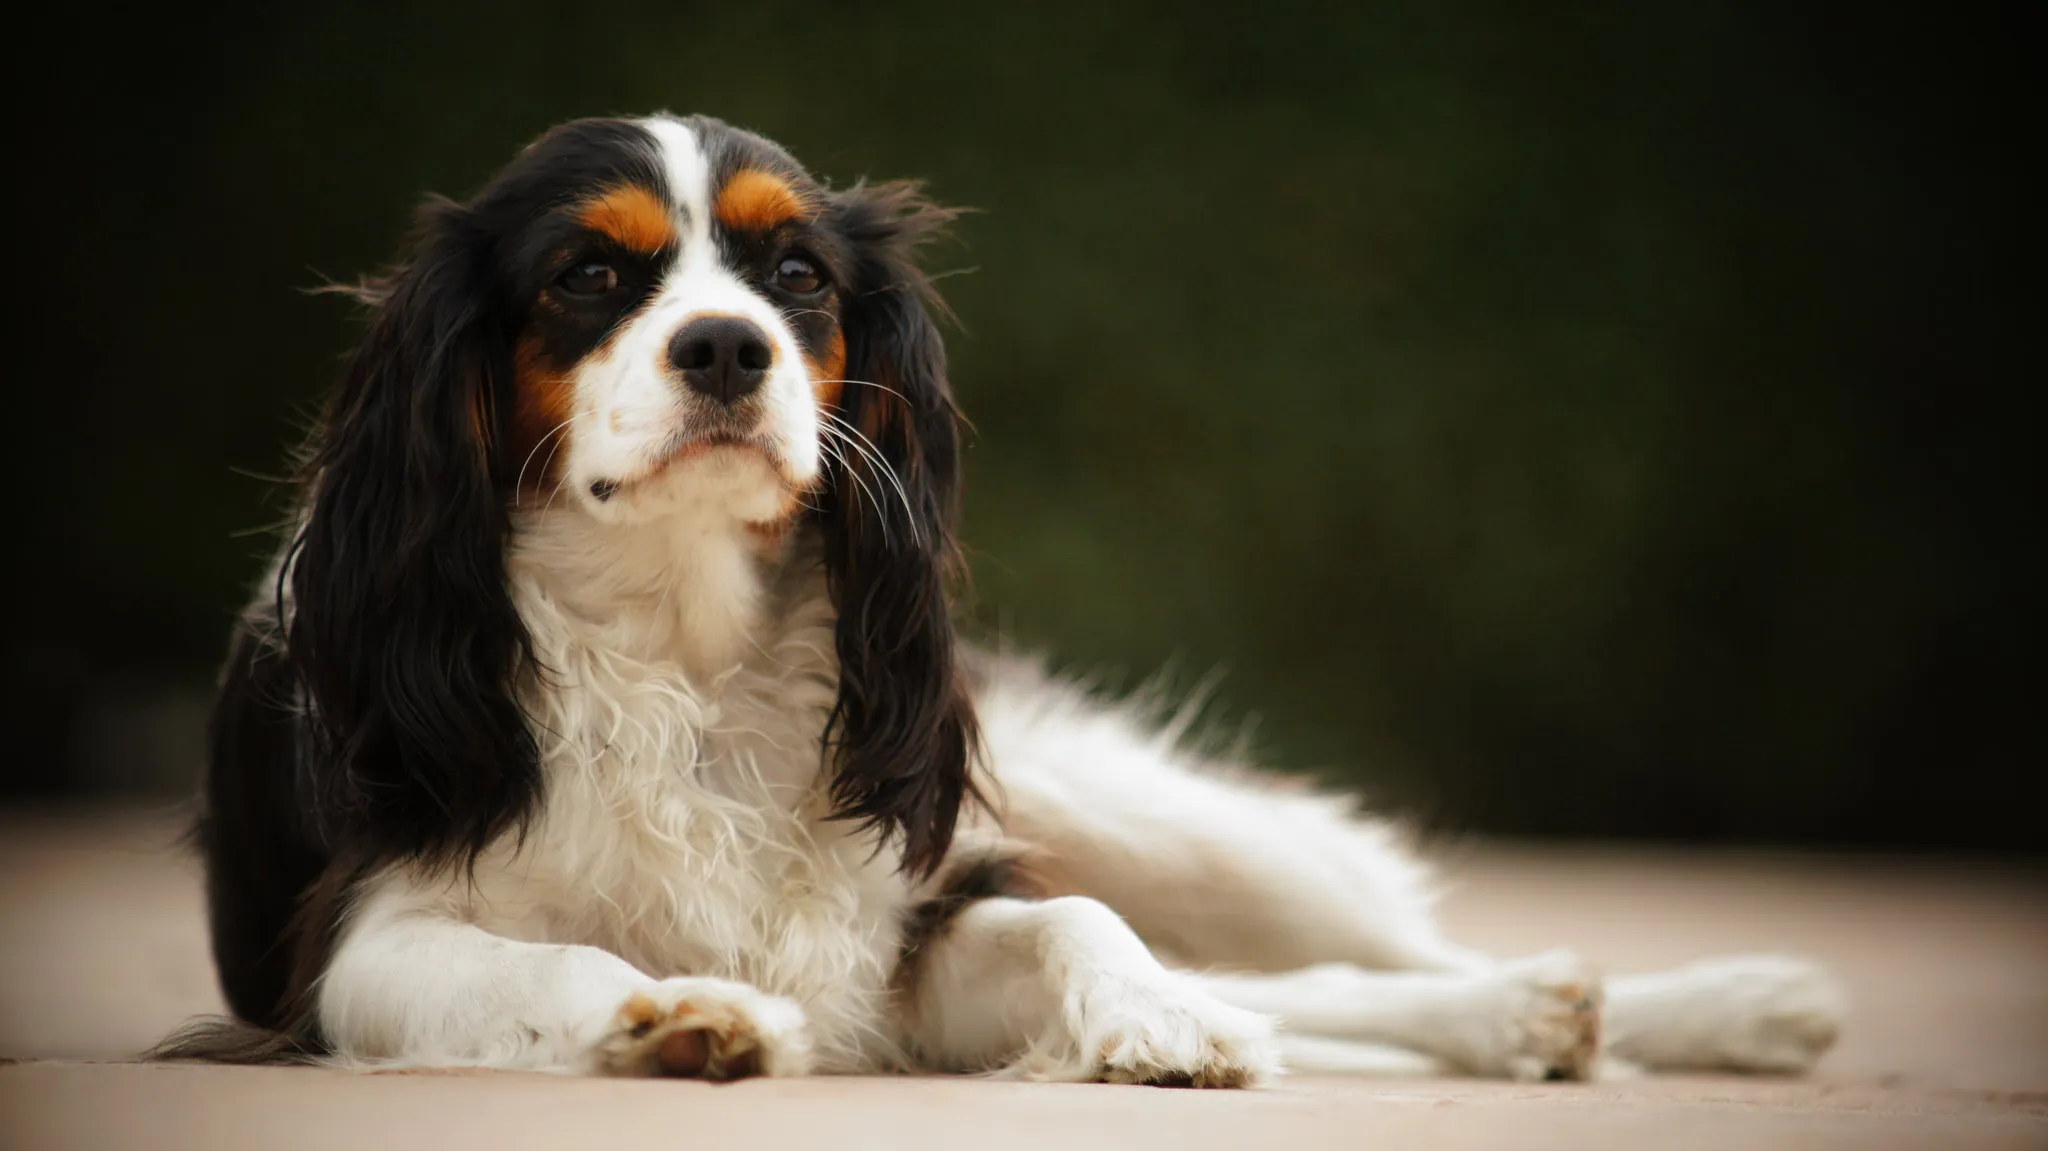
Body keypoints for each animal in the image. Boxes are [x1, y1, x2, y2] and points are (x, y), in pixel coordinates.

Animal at [159, 112, 1851, 1081]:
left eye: (798, 279)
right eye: (588, 276)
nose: (730, 348)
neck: (685, 643)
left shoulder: (908, 925)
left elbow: (1074, 921)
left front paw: (1155, 1021)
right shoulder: (351, 951)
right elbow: (551, 959)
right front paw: (683, 1015)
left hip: (1154, 812)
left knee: (1329, 955)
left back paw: (1679, 1003)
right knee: (1303, 989)